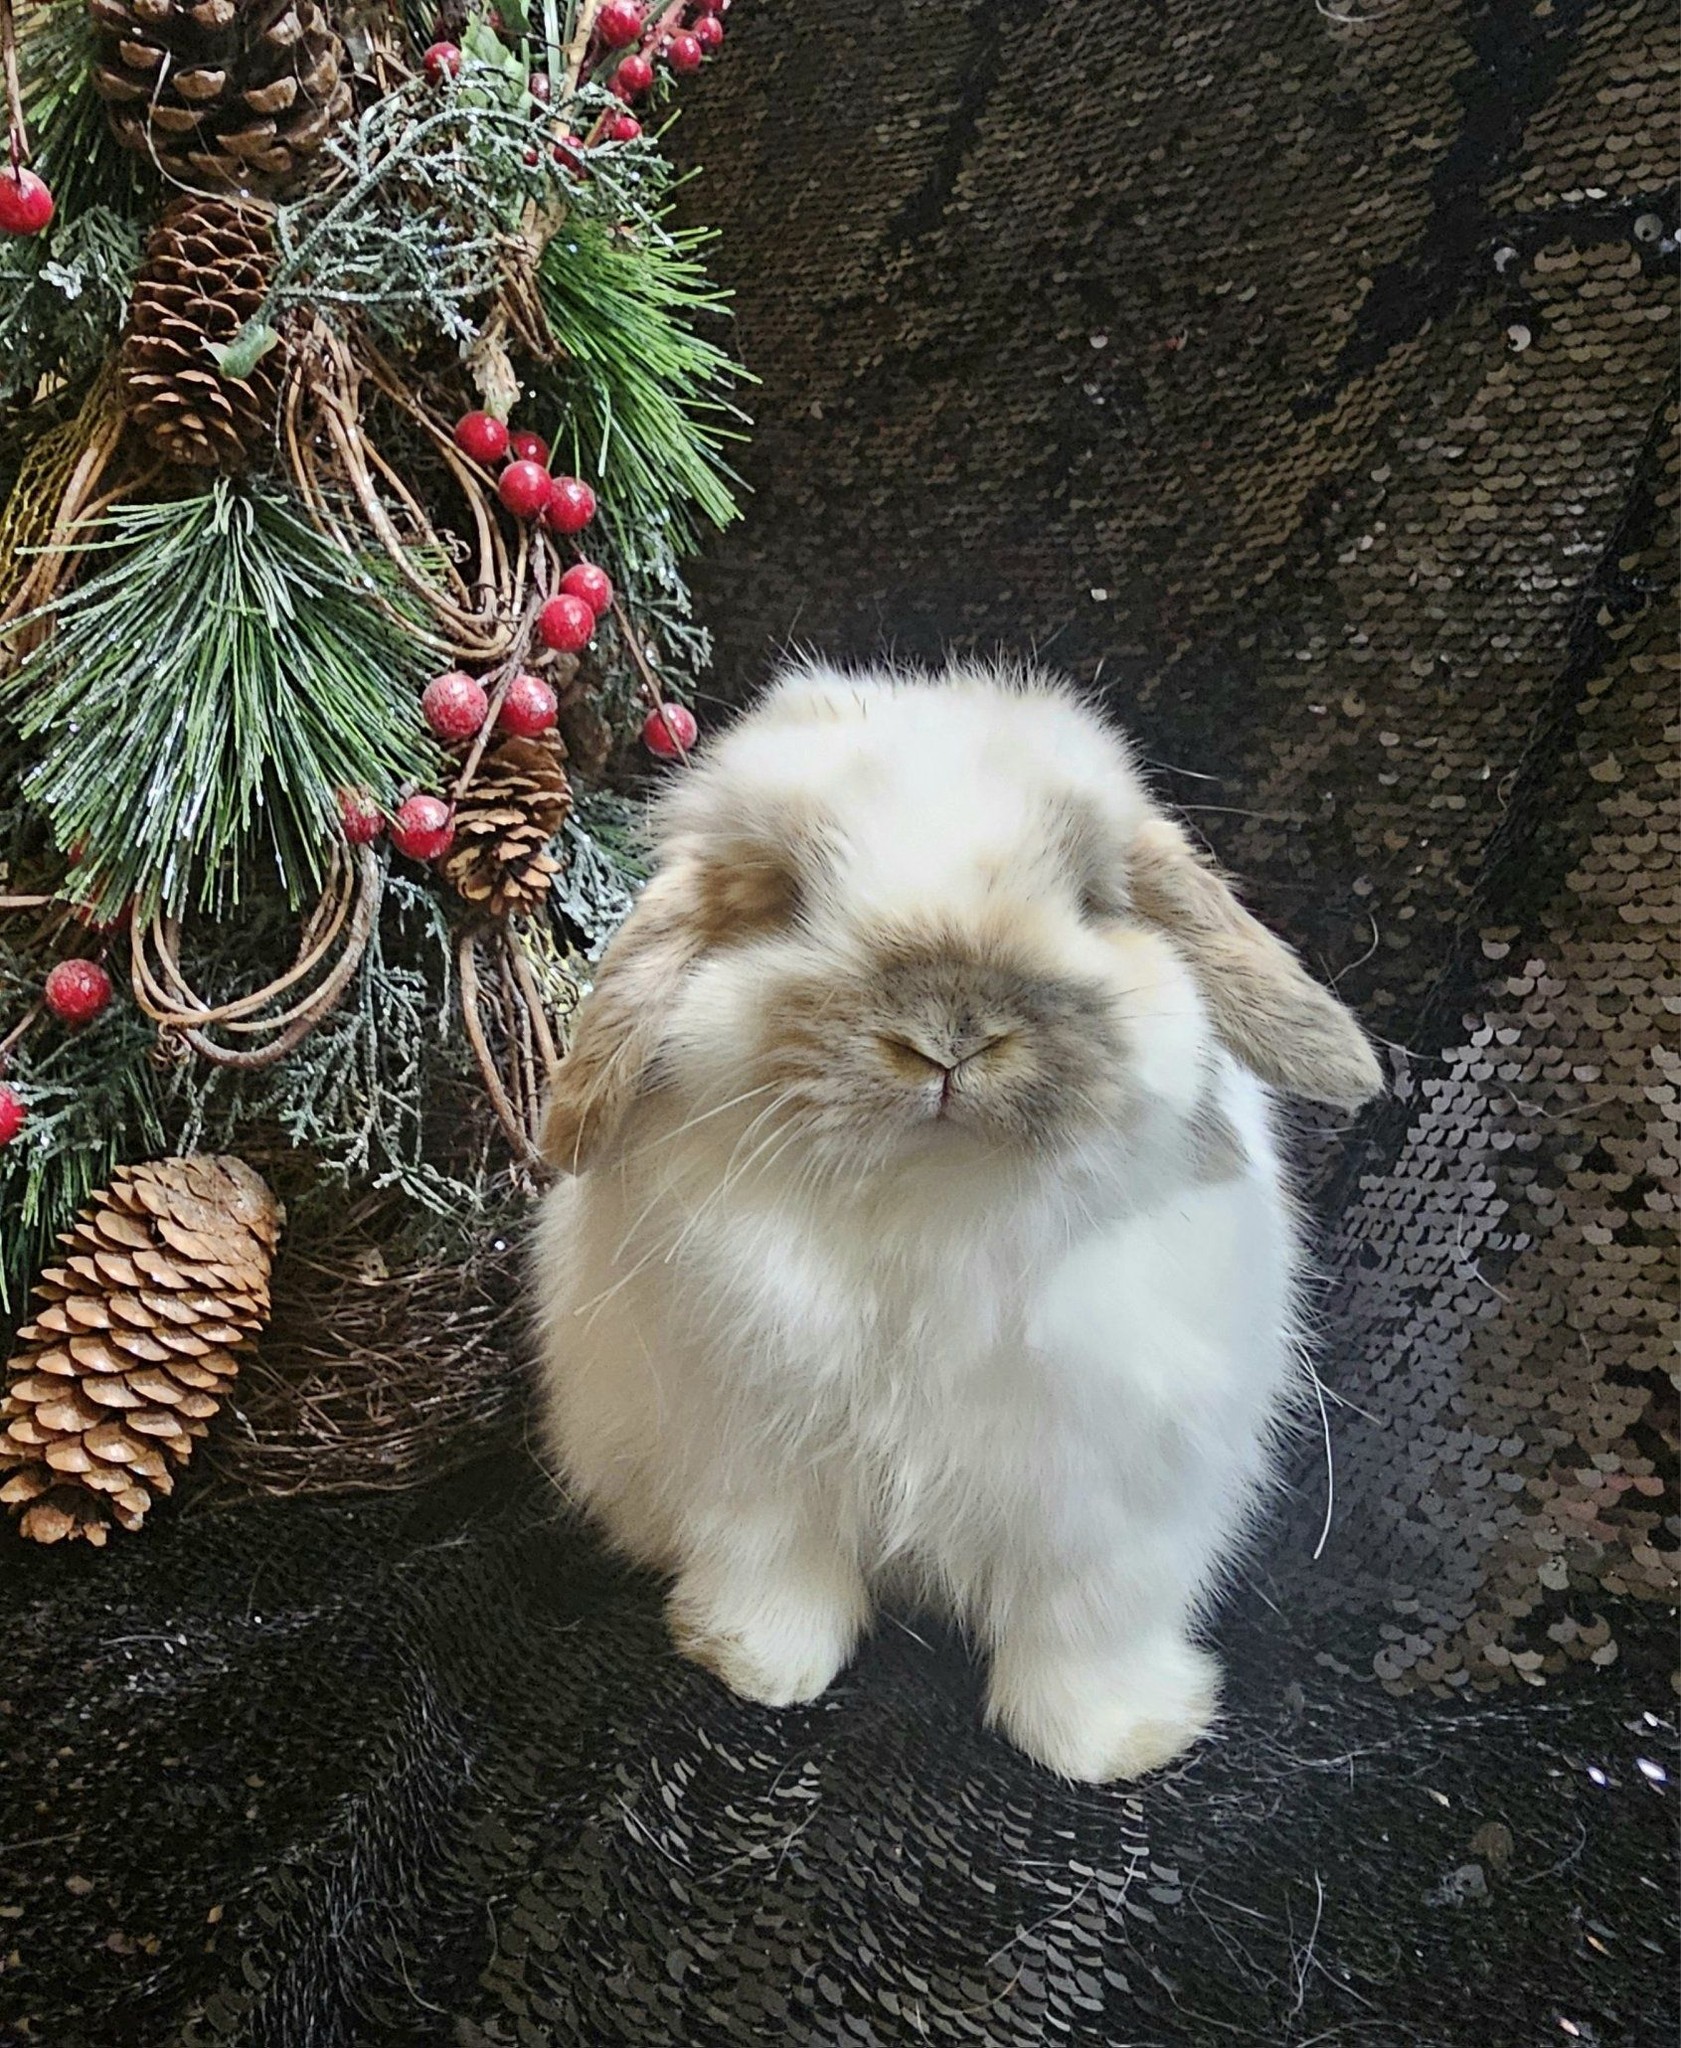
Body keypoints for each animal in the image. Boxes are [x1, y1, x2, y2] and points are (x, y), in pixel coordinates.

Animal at [532, 658, 1382, 1782]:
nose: (946, 1032)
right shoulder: (748, 1457)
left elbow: (1084, 1627)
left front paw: (1110, 1743)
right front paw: (755, 1665)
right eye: (783, 893)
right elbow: (776, 1568)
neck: (933, 1201)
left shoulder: (1107, 1504)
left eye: (1091, 896)